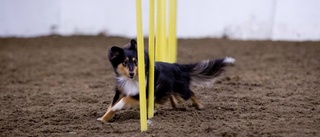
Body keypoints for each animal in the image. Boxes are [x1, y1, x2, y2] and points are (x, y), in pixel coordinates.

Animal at [96, 39, 234, 122]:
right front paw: (103, 119)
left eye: (136, 62)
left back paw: (199, 106)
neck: (132, 79)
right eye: (124, 62)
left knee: (191, 93)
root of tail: (178, 66)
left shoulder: (142, 95)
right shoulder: (120, 91)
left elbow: (123, 101)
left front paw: (116, 108)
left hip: (180, 91)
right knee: (175, 96)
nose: (131, 73)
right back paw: (176, 105)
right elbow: (111, 106)